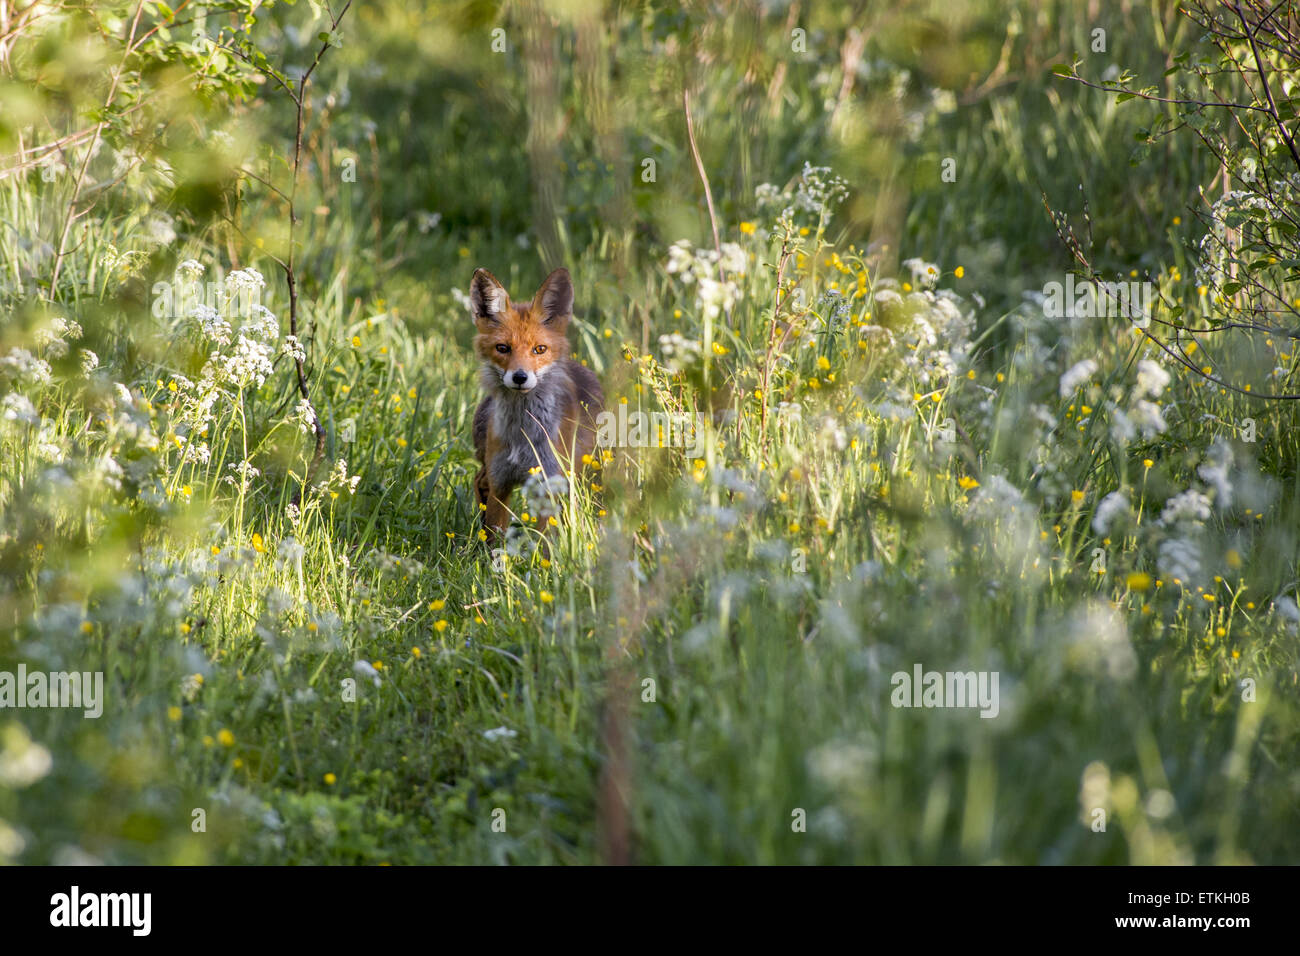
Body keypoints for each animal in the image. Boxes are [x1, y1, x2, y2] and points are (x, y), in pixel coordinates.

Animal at [470, 266, 603, 541]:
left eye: (539, 349)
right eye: (502, 348)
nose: (520, 377)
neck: (523, 437)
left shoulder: (548, 486)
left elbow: (545, 541)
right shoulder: (501, 481)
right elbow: (496, 538)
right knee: (479, 480)